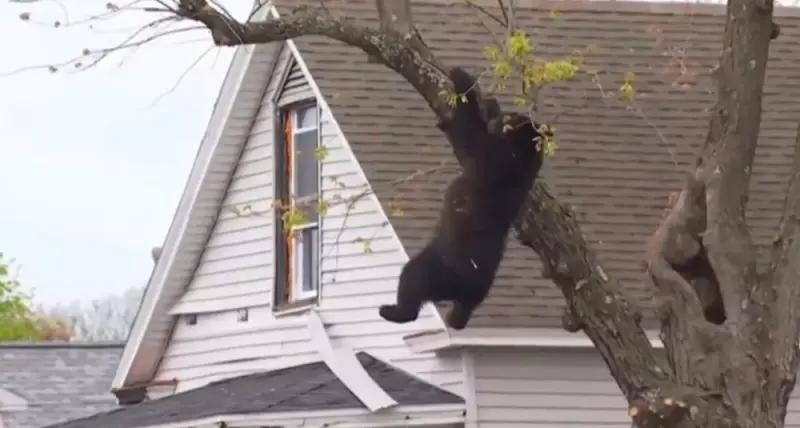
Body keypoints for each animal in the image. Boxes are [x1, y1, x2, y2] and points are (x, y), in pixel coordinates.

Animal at [378, 67, 548, 330]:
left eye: (512, 117)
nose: (506, 114)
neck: (522, 156)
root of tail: (468, 293)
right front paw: (489, 102)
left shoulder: (493, 157)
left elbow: (469, 133)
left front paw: (461, 78)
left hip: (440, 267)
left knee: (413, 279)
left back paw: (393, 311)